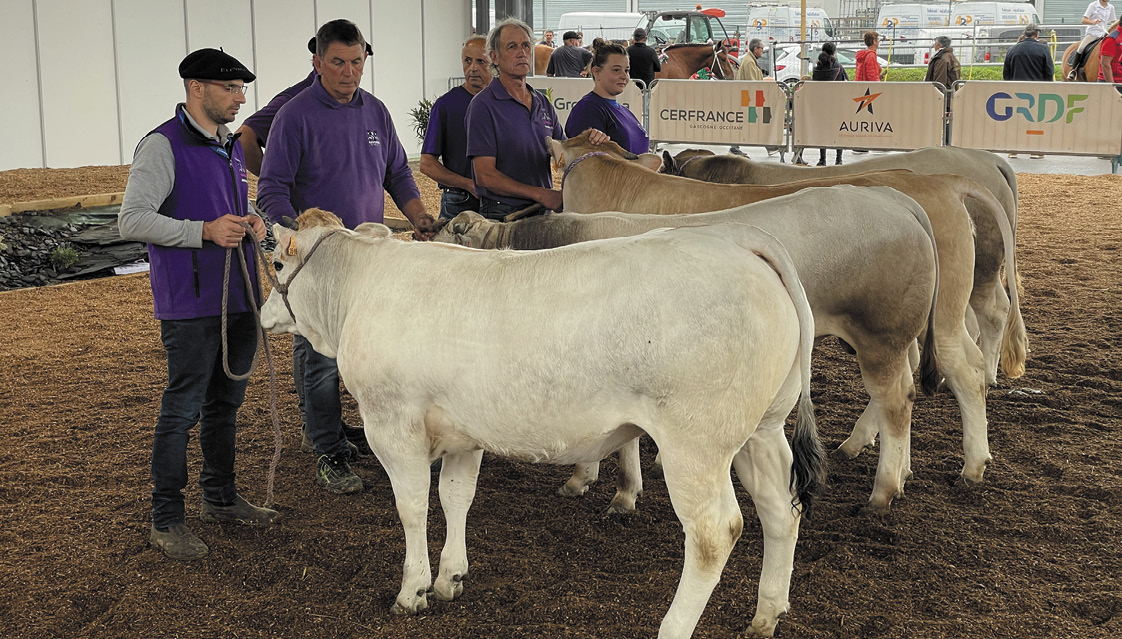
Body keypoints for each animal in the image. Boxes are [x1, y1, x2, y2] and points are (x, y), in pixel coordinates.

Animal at [260, 209, 825, 636]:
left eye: (275, 259)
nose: (264, 314)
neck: (358, 288)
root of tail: (737, 239)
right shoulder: (465, 433)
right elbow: (456, 498)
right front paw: (449, 578)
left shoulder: (392, 425)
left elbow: (413, 507)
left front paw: (412, 589)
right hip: (760, 431)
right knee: (781, 508)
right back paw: (766, 615)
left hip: (696, 445)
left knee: (714, 533)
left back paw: (674, 627)